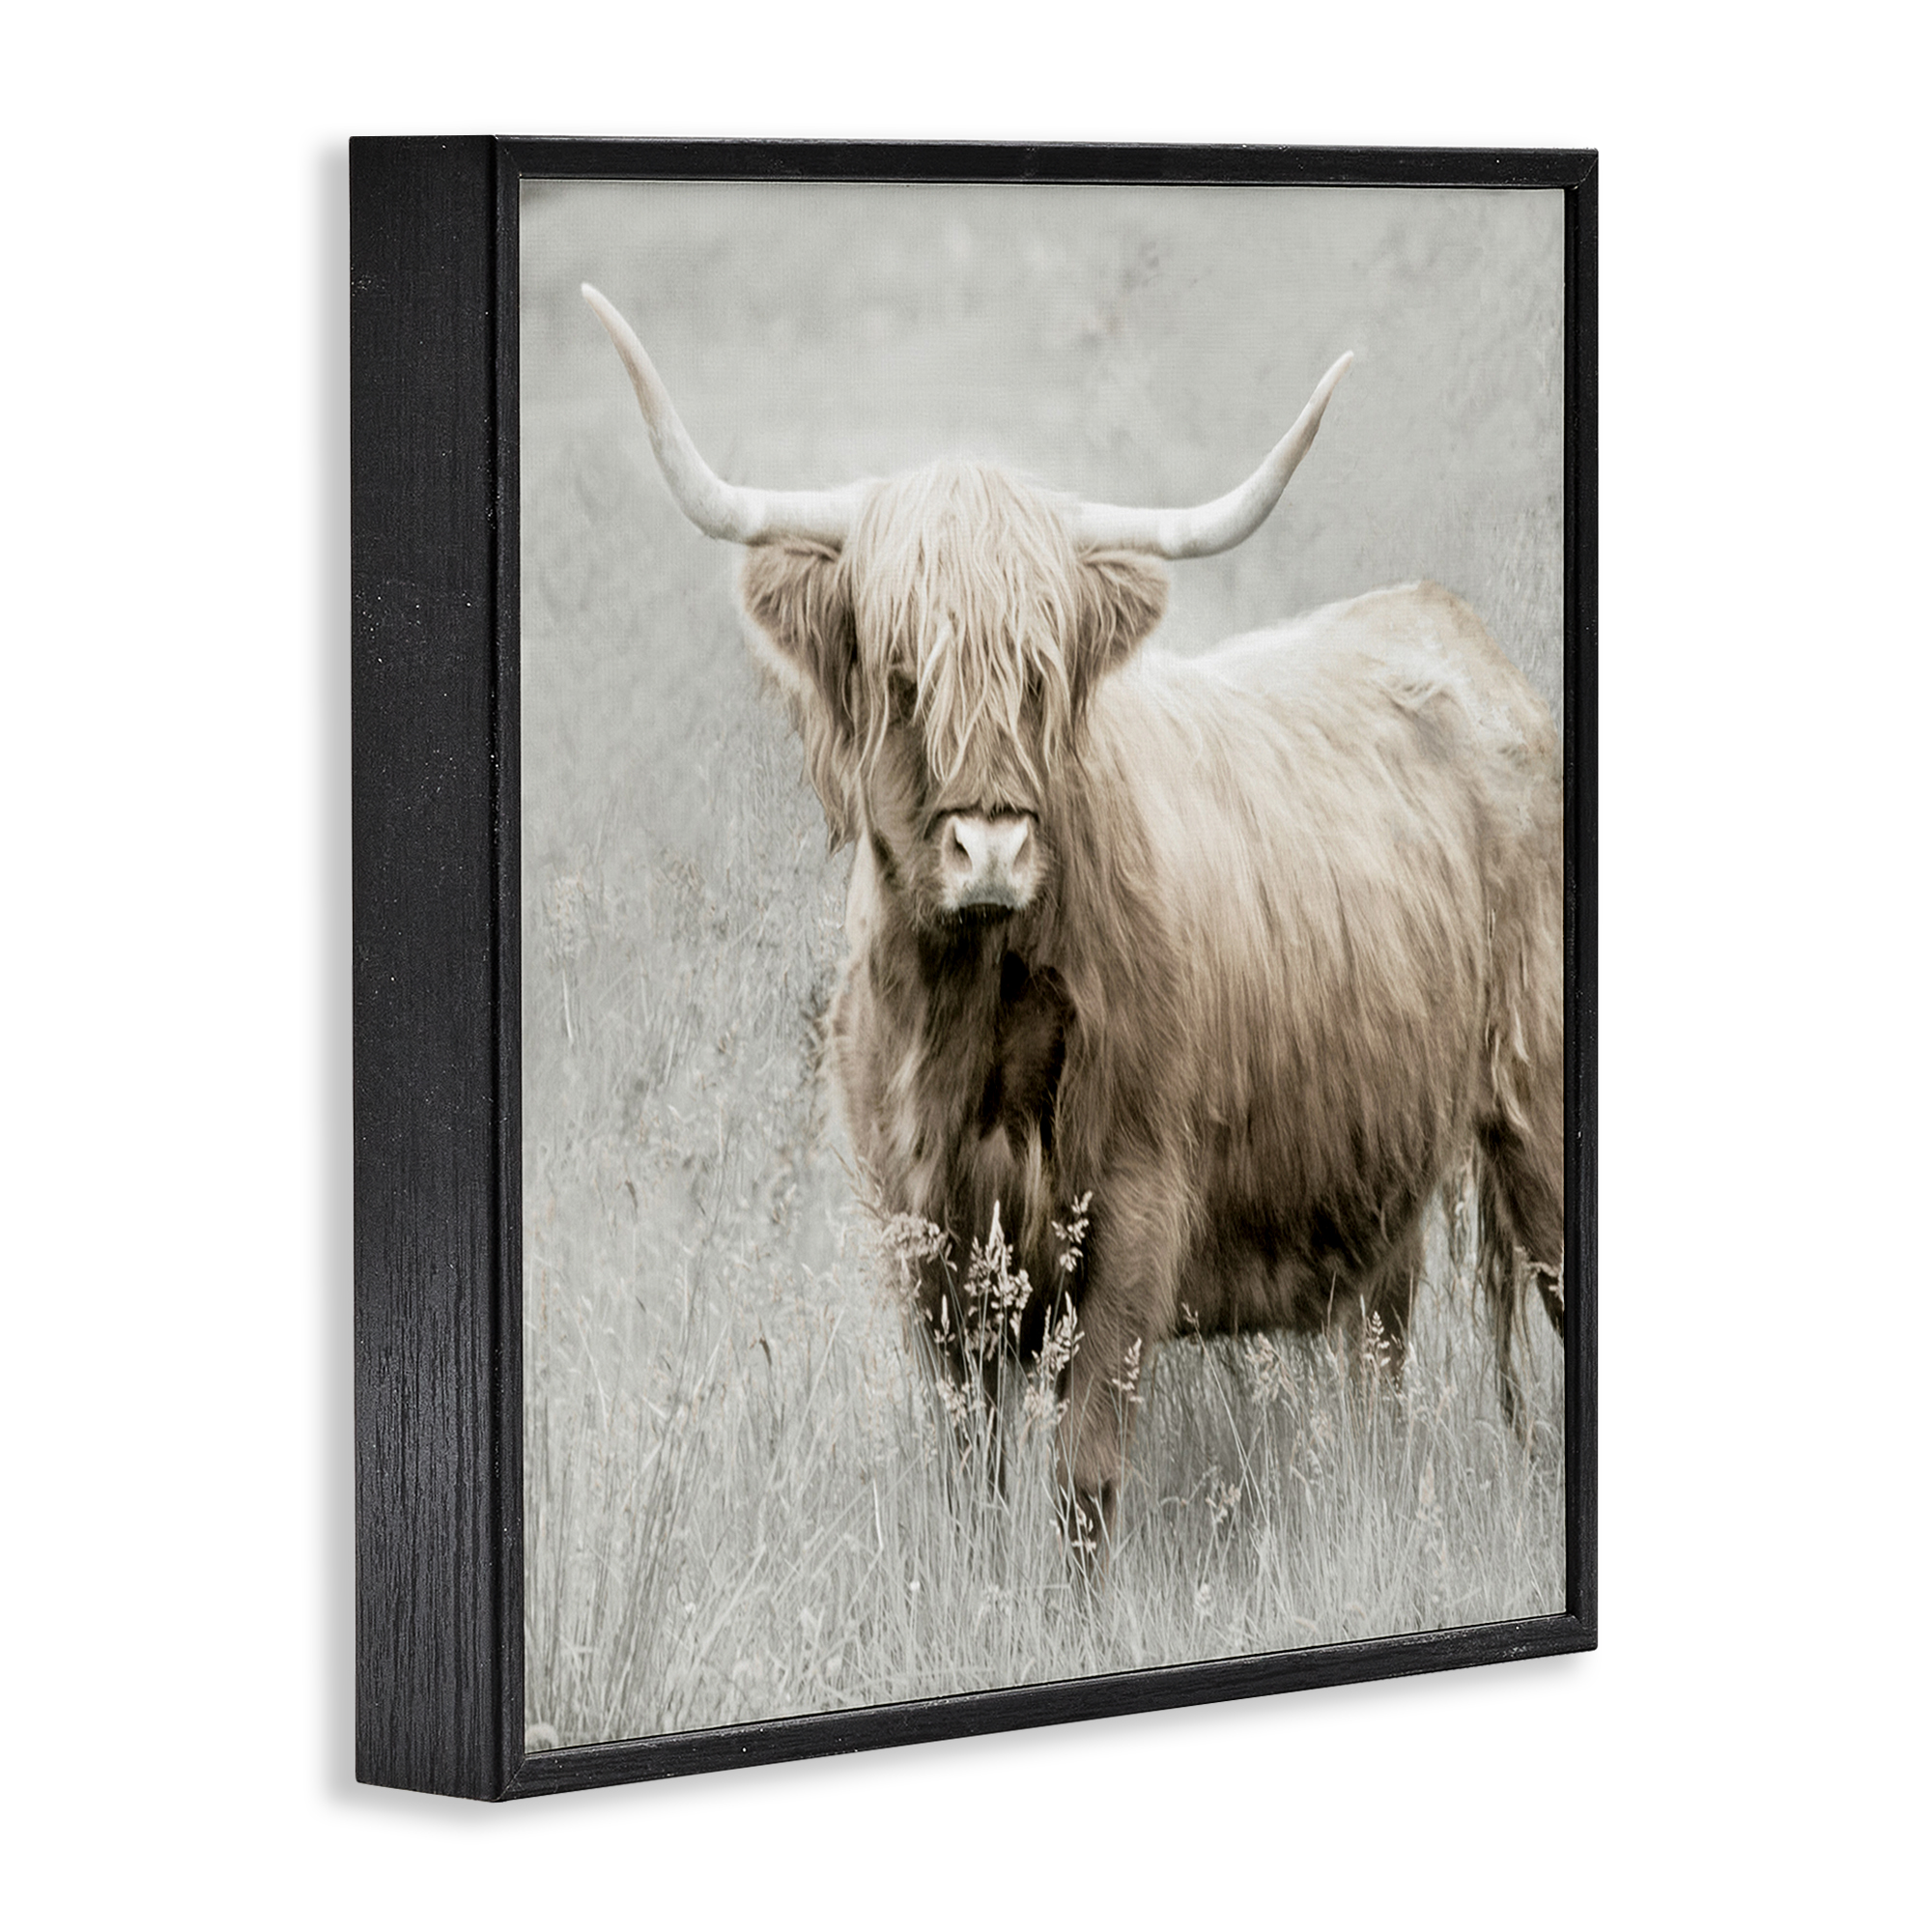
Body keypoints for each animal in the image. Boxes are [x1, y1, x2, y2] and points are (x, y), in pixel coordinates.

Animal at [583, 283, 1565, 1557]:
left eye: (1040, 674)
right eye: (901, 670)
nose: (990, 847)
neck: (970, 1019)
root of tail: (1457, 634)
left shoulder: (1134, 1216)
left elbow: (1083, 1478)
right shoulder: (926, 1243)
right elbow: (969, 1473)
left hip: (1540, 1112)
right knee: (1381, 1359)